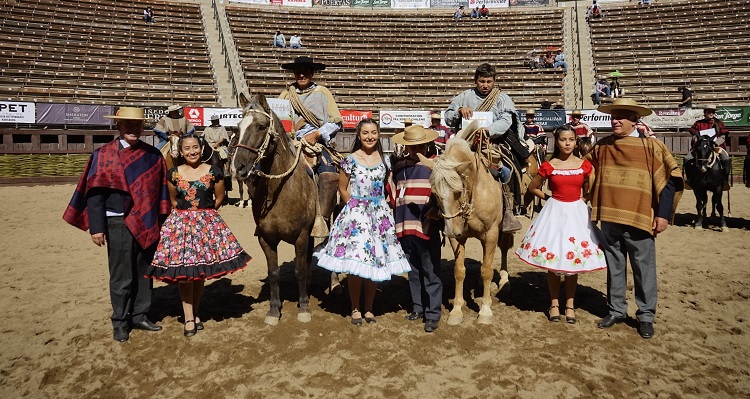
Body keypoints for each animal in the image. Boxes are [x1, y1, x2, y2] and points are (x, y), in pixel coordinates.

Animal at [234, 93, 318, 324]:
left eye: (261, 126)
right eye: (237, 127)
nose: (238, 167)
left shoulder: (301, 235)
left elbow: (299, 270)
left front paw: (304, 307)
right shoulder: (266, 238)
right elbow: (273, 273)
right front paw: (273, 310)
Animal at [418, 139, 516, 326]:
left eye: (457, 192)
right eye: (434, 193)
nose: (449, 231)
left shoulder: (491, 234)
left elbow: (486, 270)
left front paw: (485, 311)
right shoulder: (458, 238)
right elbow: (459, 271)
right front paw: (457, 310)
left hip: (503, 230)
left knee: (503, 249)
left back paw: (504, 280)